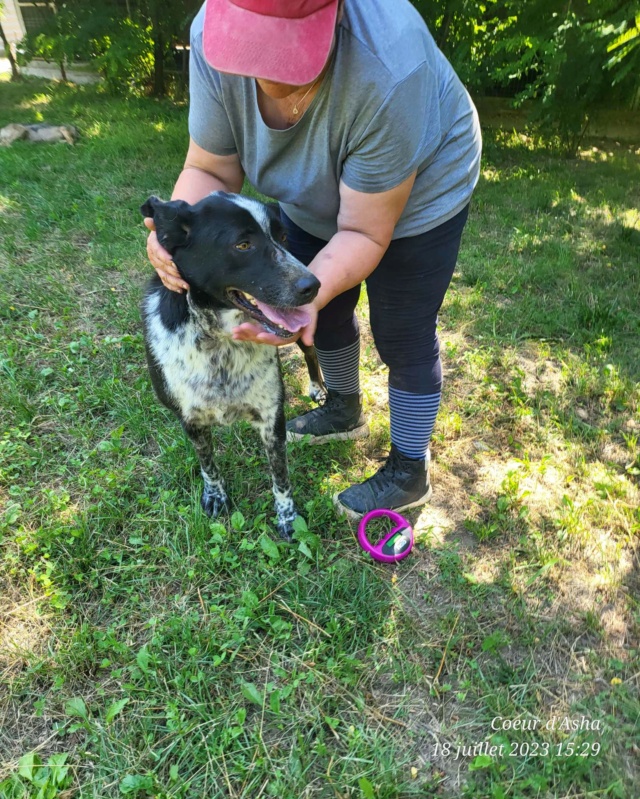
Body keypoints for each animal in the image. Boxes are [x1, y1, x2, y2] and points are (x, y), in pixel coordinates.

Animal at [142, 193, 328, 540]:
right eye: (243, 245)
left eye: (283, 237)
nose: (314, 285)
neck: (220, 343)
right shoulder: (190, 420)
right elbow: (208, 465)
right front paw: (215, 496)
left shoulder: (272, 417)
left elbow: (280, 478)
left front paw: (287, 518)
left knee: (311, 351)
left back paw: (317, 387)